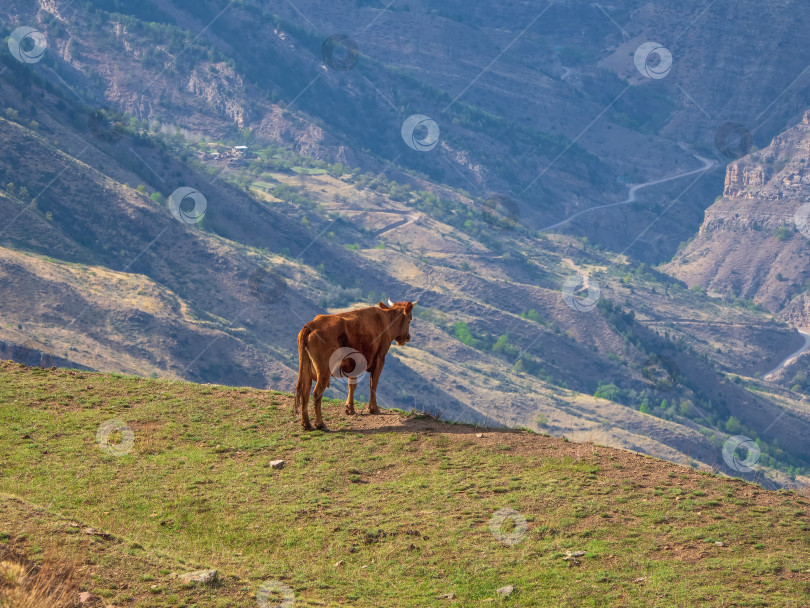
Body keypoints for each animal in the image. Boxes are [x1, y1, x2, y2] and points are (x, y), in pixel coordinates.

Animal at [294, 302, 414, 430]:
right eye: (409, 319)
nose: (408, 337)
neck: (386, 320)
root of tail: (311, 325)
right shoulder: (380, 359)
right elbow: (373, 383)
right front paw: (373, 408)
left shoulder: (353, 365)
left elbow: (352, 385)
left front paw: (349, 409)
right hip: (324, 371)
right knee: (316, 393)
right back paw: (320, 424)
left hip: (306, 370)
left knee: (305, 393)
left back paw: (306, 424)